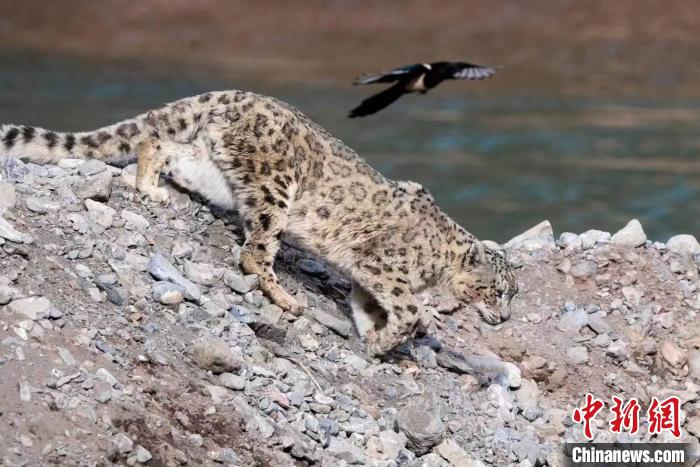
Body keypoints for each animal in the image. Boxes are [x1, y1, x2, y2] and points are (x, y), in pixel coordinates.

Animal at [1, 90, 518, 355]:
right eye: (496, 291)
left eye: (511, 295)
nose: (506, 317)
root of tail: (237, 94)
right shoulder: (384, 268)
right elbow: (409, 311)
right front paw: (387, 340)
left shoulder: (369, 277)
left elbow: (369, 306)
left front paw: (373, 338)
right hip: (275, 187)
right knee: (254, 250)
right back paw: (287, 300)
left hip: (215, 168)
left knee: (160, 144)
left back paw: (149, 185)